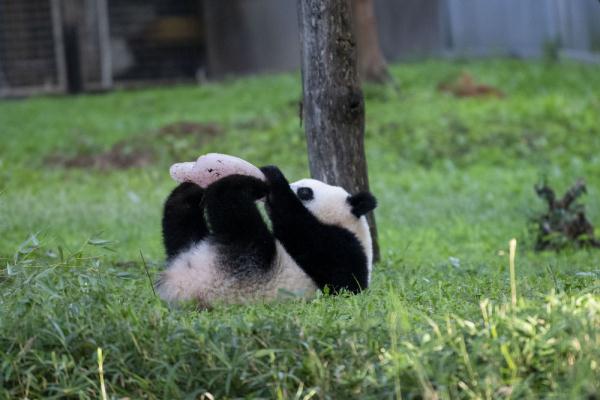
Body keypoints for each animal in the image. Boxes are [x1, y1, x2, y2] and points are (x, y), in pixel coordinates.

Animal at [157, 165, 378, 306]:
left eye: (305, 192)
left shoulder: (341, 249)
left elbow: (301, 230)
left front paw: (273, 177)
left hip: (246, 268)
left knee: (237, 217)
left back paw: (235, 184)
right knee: (181, 227)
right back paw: (189, 190)